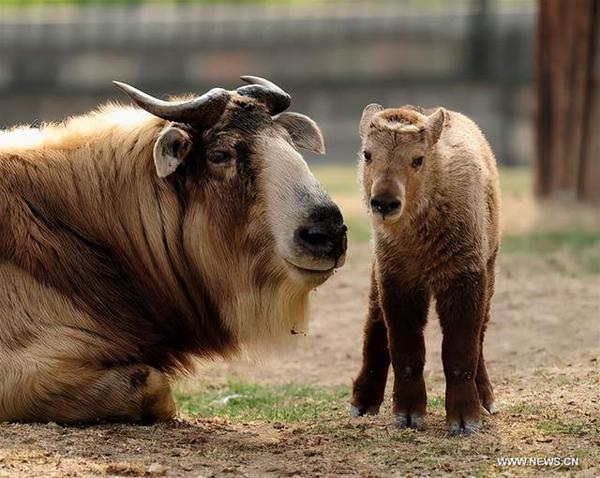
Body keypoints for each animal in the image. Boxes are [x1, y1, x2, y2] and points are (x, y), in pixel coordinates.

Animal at [350, 105, 500, 436]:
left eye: (418, 158)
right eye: (367, 154)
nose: (384, 203)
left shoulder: (464, 278)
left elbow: (460, 352)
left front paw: (464, 419)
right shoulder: (398, 281)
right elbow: (406, 350)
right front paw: (407, 414)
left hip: (490, 271)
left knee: (481, 336)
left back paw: (486, 397)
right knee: (374, 326)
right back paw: (363, 402)